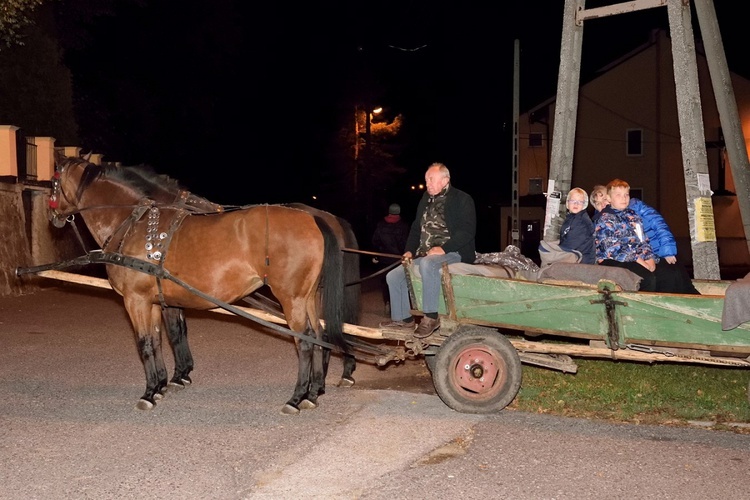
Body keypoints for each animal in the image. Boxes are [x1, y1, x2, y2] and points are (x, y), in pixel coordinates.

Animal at [50, 153, 350, 414]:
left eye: (53, 180)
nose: (53, 218)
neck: (134, 224)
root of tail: (313, 218)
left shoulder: (135, 300)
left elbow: (145, 343)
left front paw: (150, 392)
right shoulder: (154, 301)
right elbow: (159, 340)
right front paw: (161, 385)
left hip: (291, 299)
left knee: (305, 341)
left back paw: (297, 397)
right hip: (307, 297)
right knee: (319, 335)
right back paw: (313, 392)